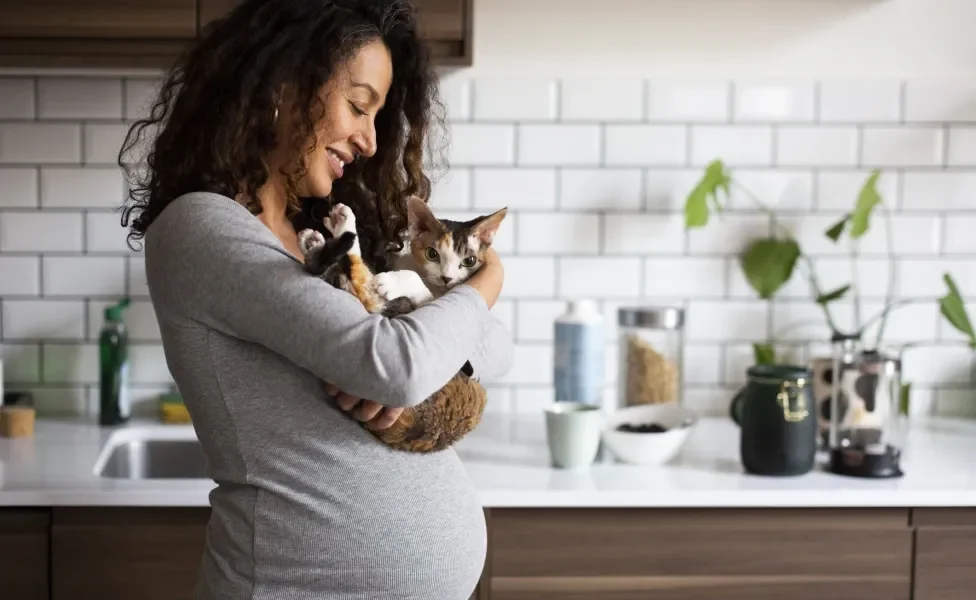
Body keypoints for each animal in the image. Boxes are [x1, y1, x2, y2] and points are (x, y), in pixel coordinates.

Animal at [296, 197, 510, 454]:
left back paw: (330, 236)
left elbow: (416, 285)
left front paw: (393, 281)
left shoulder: (435, 304)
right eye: (432, 254)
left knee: (367, 291)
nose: (447, 278)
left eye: (468, 261)